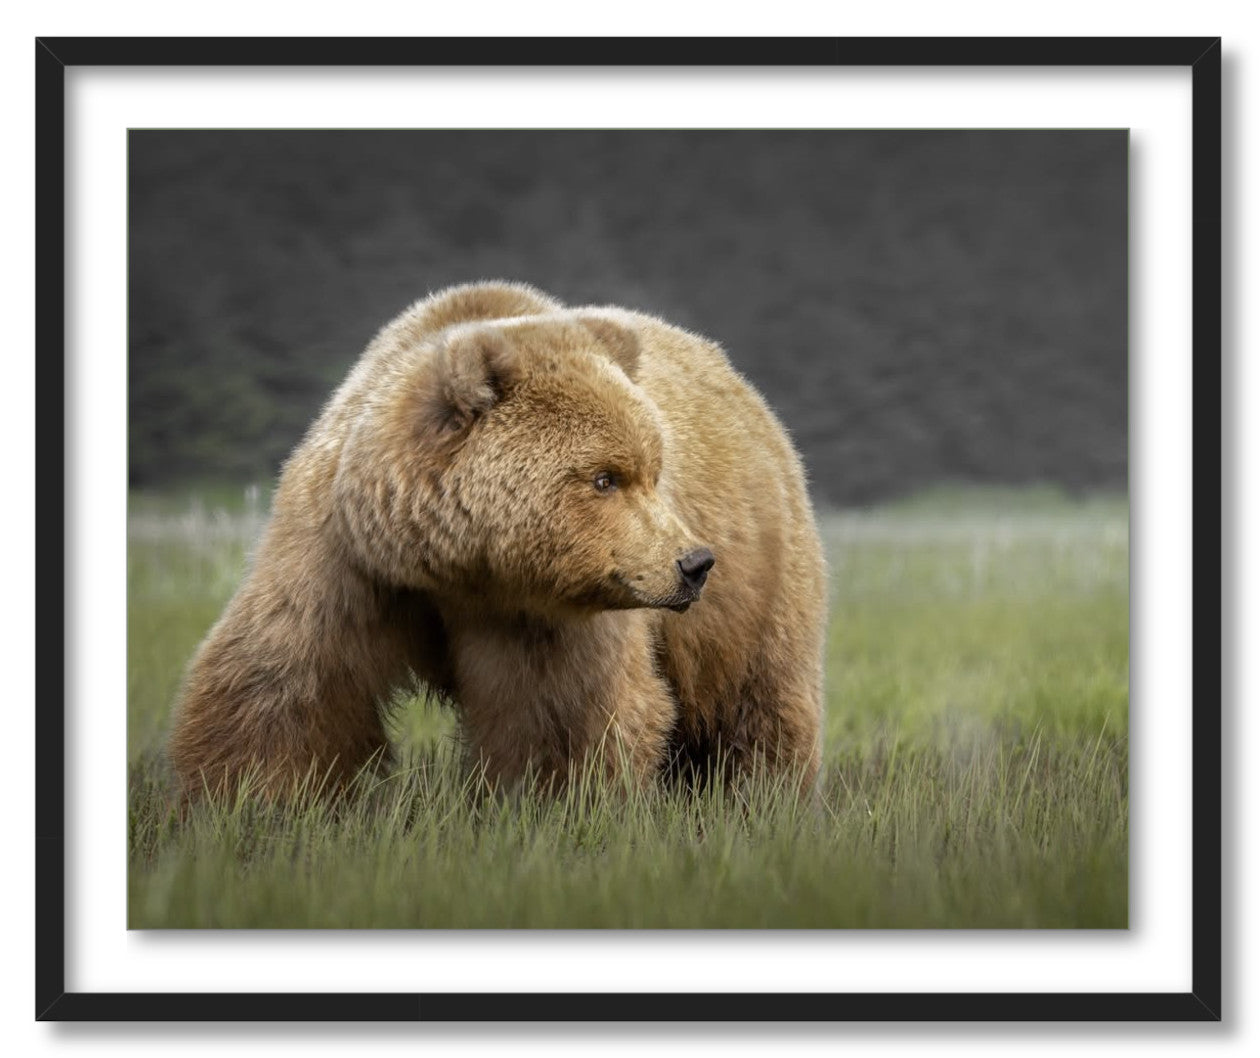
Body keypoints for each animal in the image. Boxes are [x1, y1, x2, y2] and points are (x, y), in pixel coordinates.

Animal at [167, 282, 826, 802]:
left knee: (759, 702)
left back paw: (763, 798)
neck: (452, 565)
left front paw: (553, 807)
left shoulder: (543, 615)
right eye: (605, 477)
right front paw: (245, 803)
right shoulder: (346, 558)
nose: (693, 562)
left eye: (653, 472)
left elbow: (561, 716)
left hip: (761, 580)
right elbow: (284, 684)